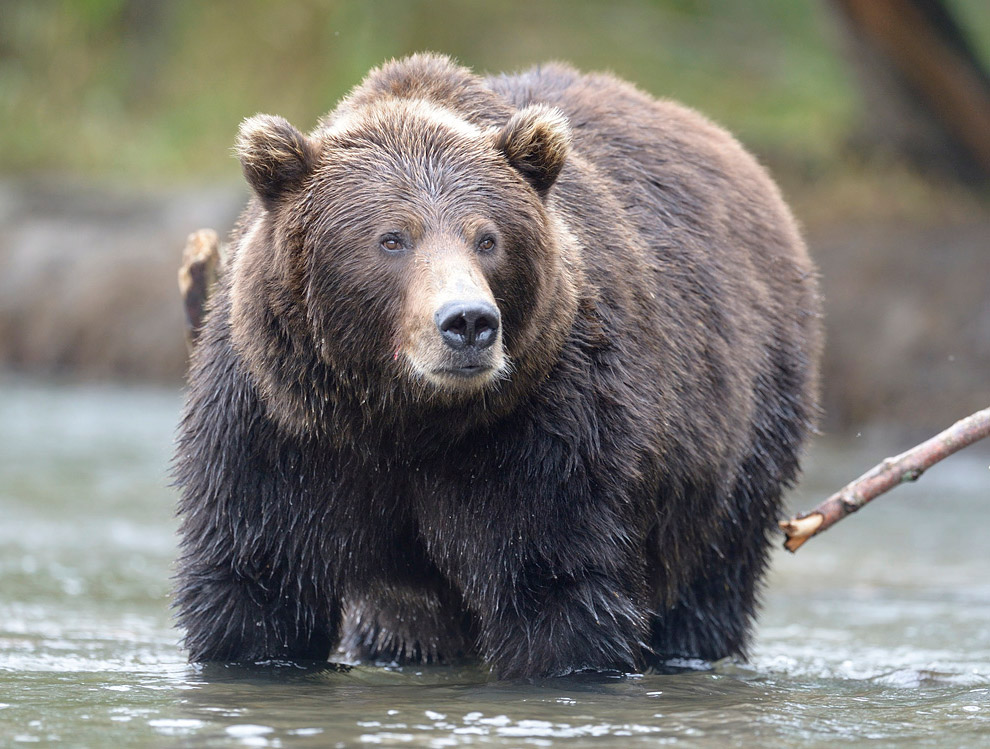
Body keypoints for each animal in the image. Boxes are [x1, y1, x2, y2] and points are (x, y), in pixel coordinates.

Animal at [174, 52, 824, 676]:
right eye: (391, 239)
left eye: (487, 238)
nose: (468, 322)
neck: (400, 419)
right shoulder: (280, 424)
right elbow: (259, 581)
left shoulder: (546, 423)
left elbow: (554, 580)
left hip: (739, 433)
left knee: (711, 575)